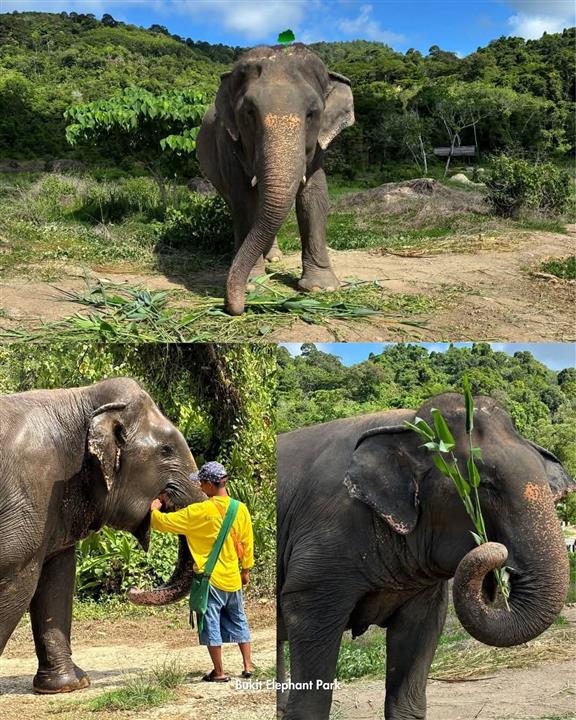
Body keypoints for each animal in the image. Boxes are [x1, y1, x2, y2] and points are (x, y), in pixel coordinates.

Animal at [0, 377, 205, 693]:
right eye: (167, 450)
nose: (132, 590)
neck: (80, 399)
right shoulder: (28, 496)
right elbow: (17, 579)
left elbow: (57, 578)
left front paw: (70, 685)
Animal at [196, 43, 355, 315]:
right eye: (249, 112)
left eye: (312, 113)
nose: (234, 306)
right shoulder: (226, 140)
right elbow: (244, 200)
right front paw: (253, 283)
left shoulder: (318, 147)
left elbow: (314, 196)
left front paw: (322, 288)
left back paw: (273, 258)